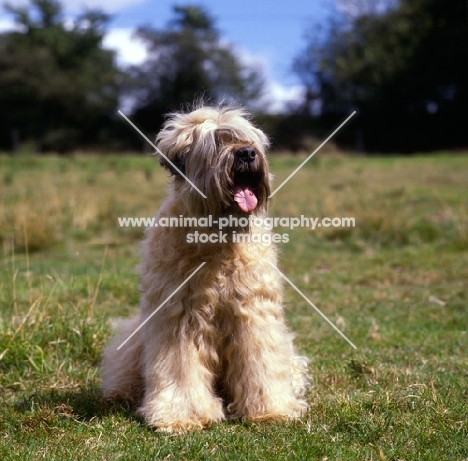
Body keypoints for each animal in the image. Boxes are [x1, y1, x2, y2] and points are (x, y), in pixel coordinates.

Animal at [100, 104, 308, 432]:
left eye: (246, 140)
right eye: (217, 142)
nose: (247, 153)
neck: (217, 240)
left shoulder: (253, 315)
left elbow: (261, 363)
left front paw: (270, 410)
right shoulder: (180, 318)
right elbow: (180, 370)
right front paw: (182, 416)